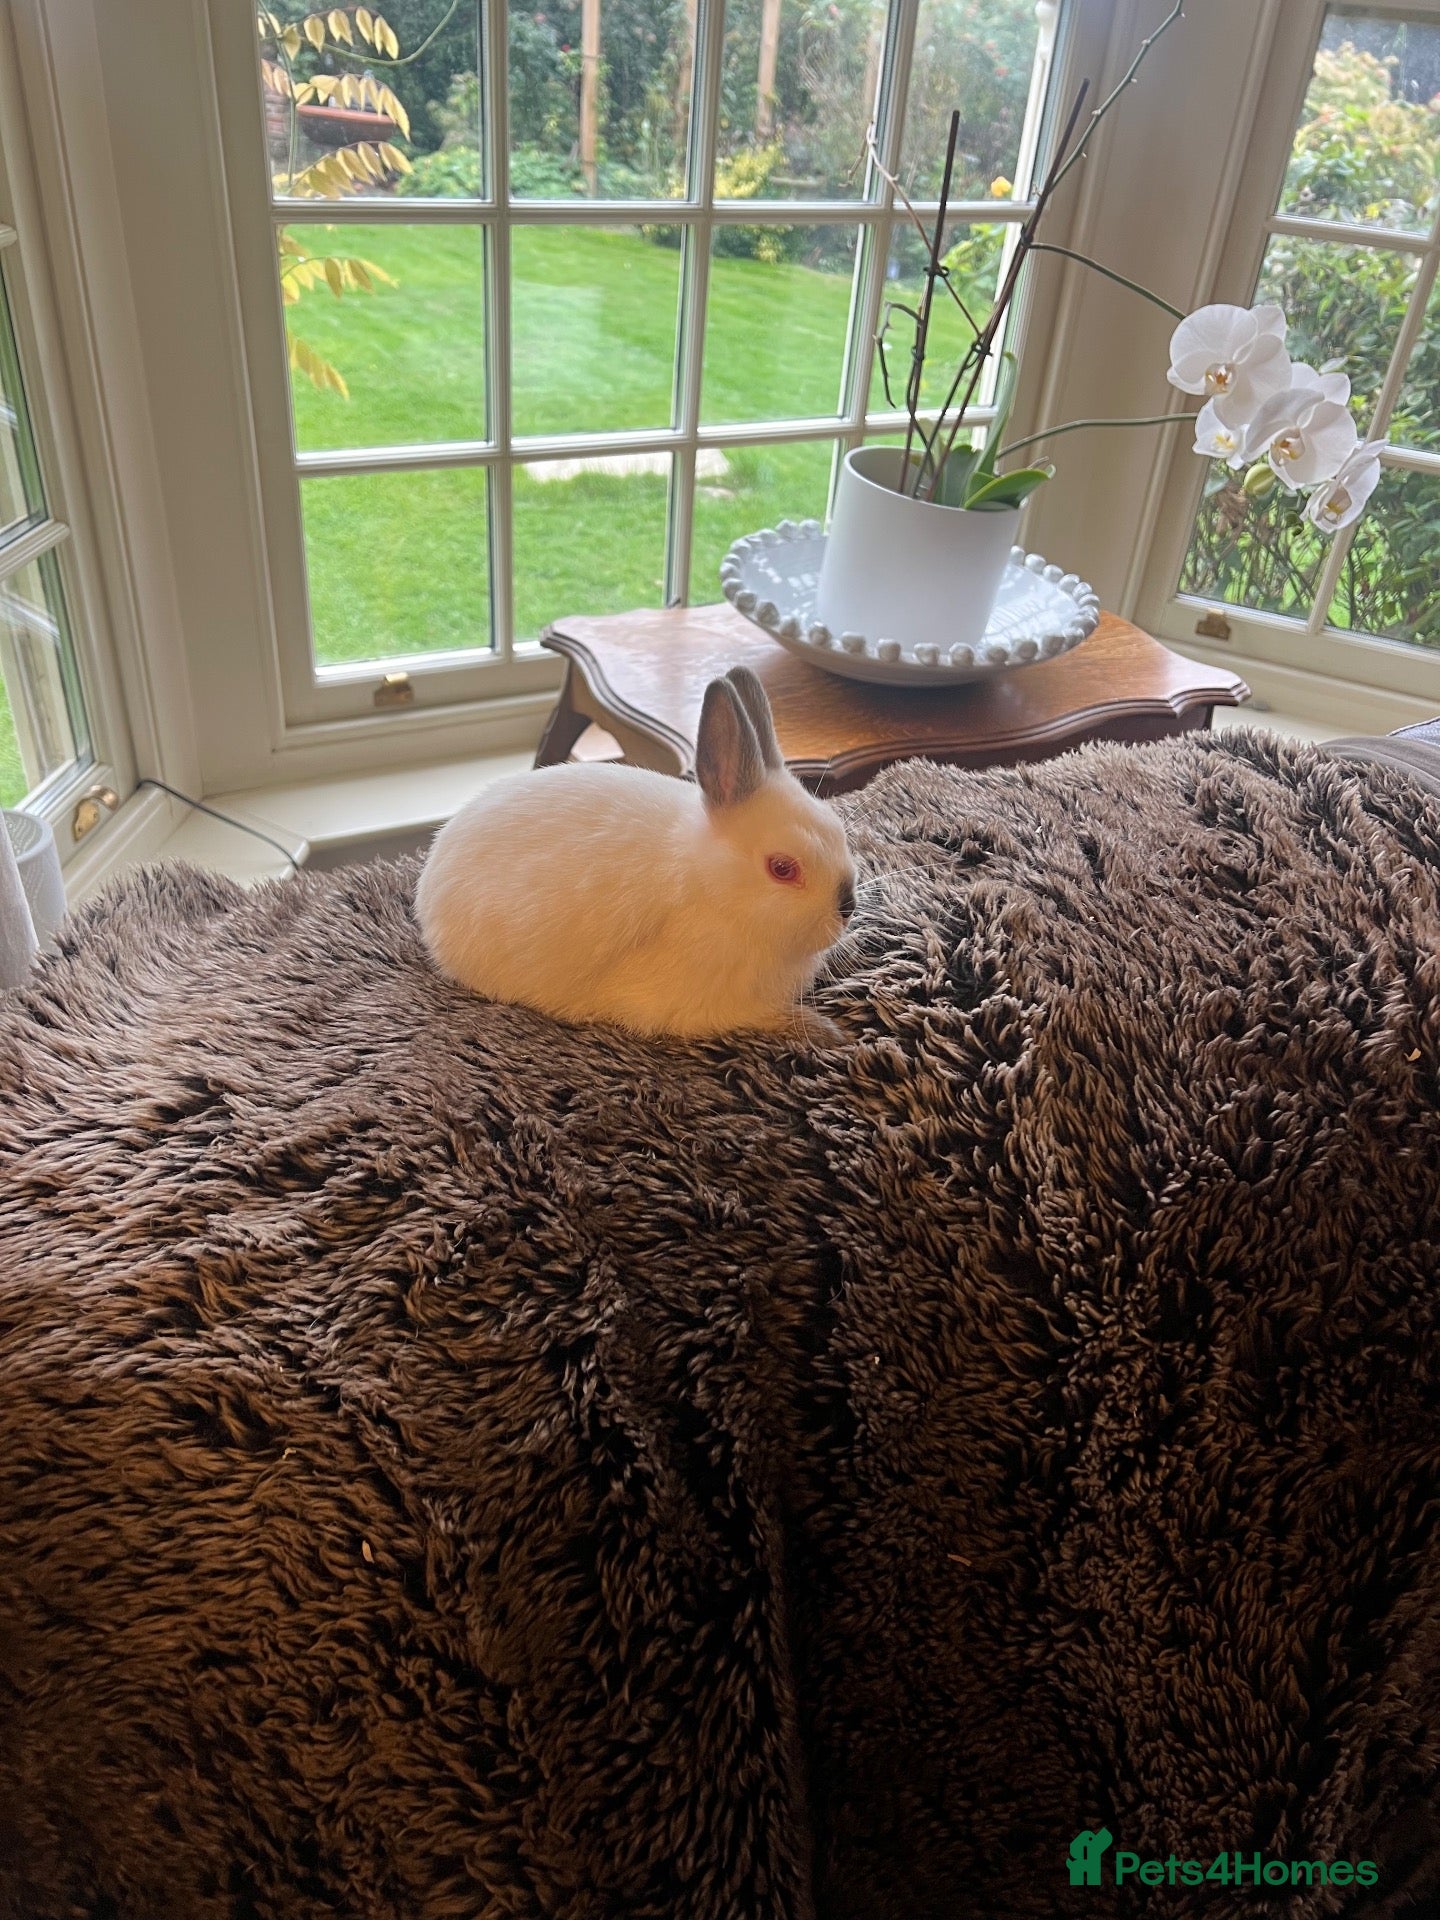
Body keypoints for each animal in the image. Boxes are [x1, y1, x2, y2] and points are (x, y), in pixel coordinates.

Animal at [415, 664, 856, 1045]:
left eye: (837, 829)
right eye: (782, 868)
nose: (847, 907)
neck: (711, 887)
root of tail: (429, 884)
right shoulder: (711, 1007)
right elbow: (768, 1018)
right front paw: (827, 1032)